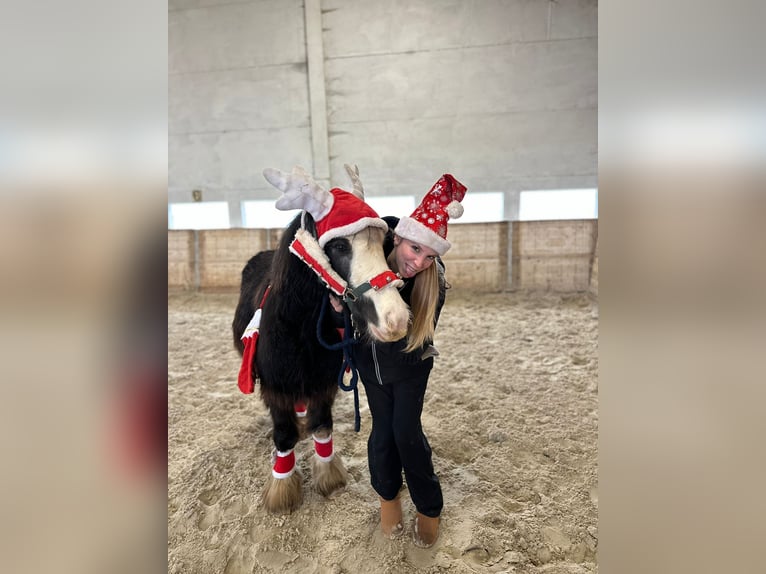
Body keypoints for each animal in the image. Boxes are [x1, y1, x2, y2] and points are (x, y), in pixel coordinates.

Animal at [234, 164, 414, 516]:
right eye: (340, 246)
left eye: (383, 242)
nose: (395, 319)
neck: (299, 329)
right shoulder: (275, 388)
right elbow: (284, 436)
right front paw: (282, 491)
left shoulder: (322, 384)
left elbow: (322, 426)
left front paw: (329, 477)